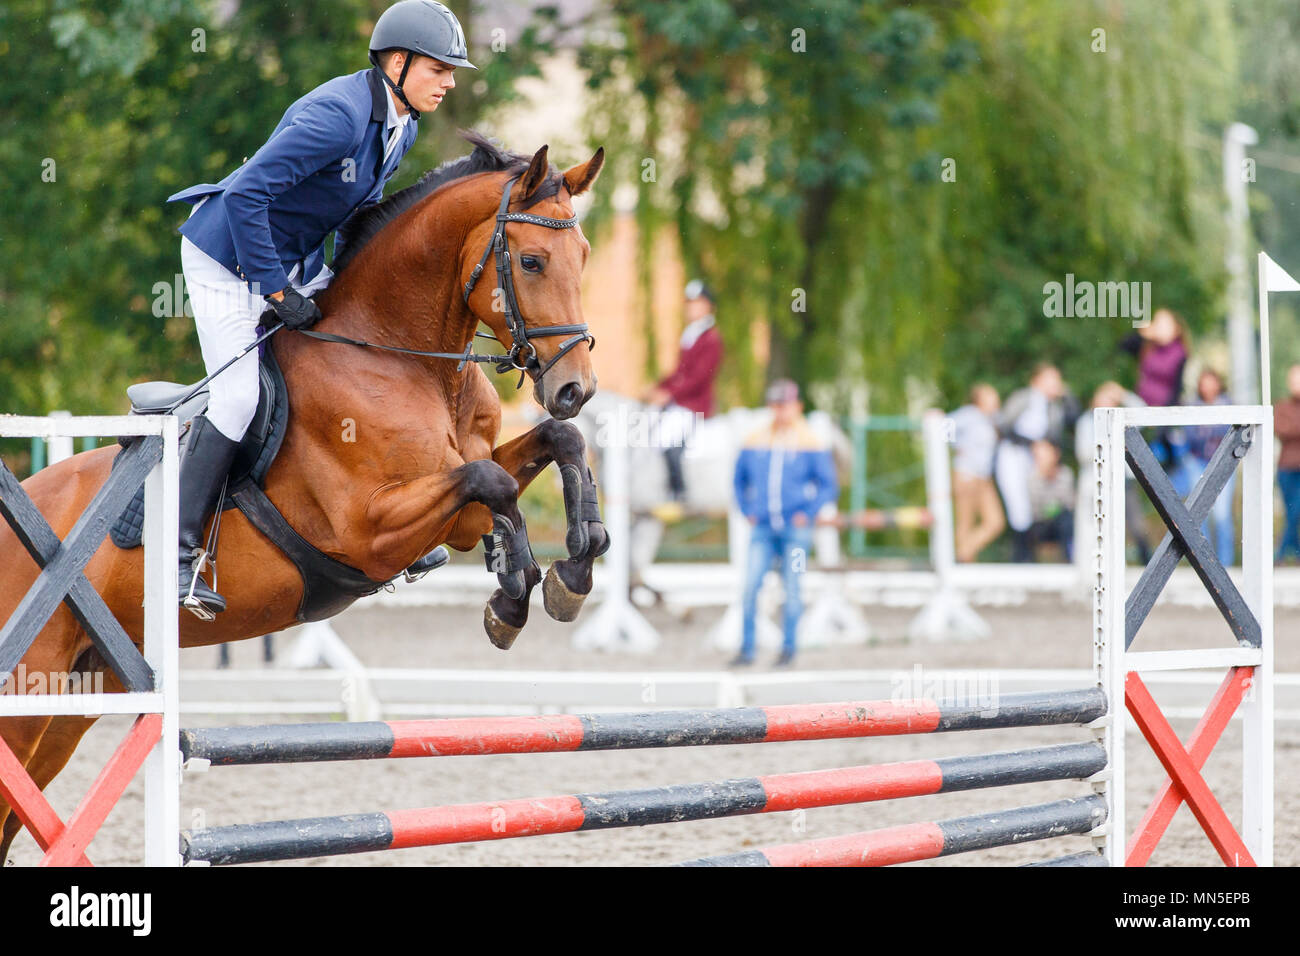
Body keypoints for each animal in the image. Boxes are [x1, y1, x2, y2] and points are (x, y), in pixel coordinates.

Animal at [0, 133, 607, 863]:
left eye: (584, 258)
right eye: (532, 260)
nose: (576, 387)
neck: (399, 356)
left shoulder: (455, 512)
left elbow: (555, 445)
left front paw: (574, 569)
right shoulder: (368, 528)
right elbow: (495, 485)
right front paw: (513, 596)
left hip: (76, 701)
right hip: (28, 690)